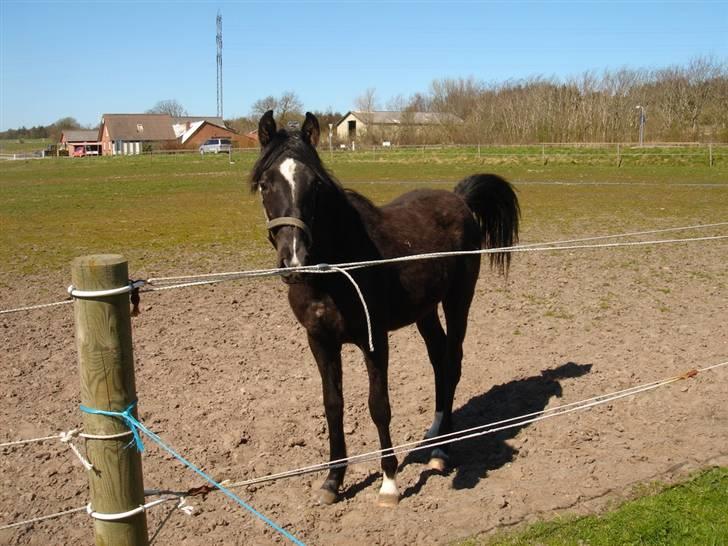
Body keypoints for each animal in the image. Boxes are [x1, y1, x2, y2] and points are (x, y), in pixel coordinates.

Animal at [250, 111, 516, 506]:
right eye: (266, 184)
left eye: (315, 185)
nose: (294, 259)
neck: (336, 269)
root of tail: (458, 199)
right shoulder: (320, 341)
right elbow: (333, 405)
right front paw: (332, 480)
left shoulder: (374, 341)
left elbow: (378, 406)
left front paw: (389, 481)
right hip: (425, 311)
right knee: (439, 360)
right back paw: (435, 432)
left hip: (458, 300)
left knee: (452, 362)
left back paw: (442, 451)